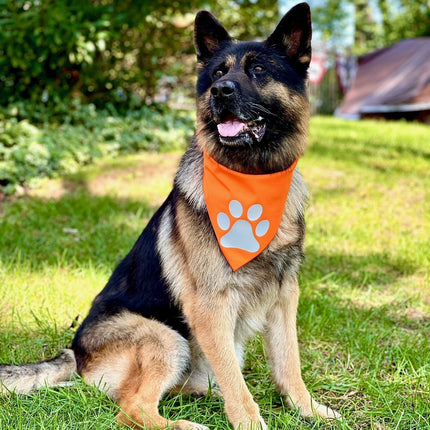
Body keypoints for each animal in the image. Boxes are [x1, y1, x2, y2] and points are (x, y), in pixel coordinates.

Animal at [0, 2, 342, 426]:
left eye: (259, 70)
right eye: (218, 73)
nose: (220, 91)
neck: (252, 180)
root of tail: (75, 354)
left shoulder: (284, 295)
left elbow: (288, 364)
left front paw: (308, 409)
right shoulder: (211, 306)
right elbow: (238, 384)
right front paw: (250, 422)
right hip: (165, 337)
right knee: (132, 409)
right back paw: (185, 424)